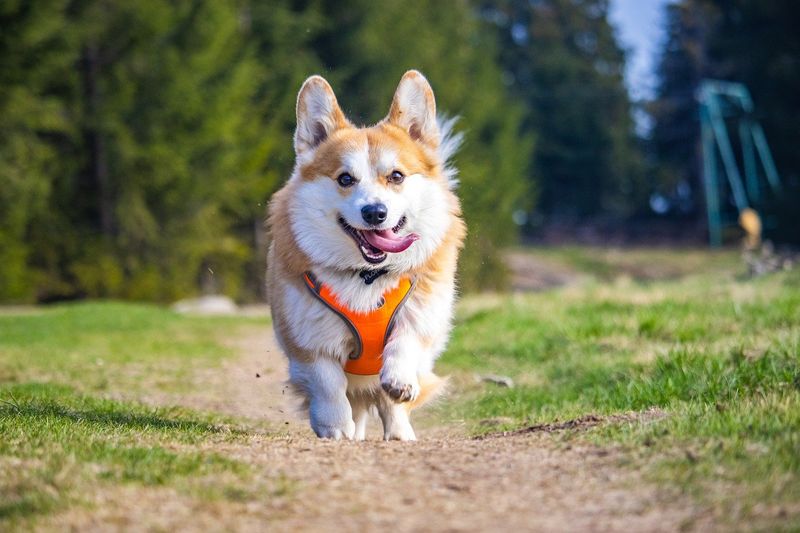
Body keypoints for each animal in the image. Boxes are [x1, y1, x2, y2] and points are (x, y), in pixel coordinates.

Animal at [268, 68, 466, 438]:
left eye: (397, 176)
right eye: (345, 179)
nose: (375, 212)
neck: (367, 275)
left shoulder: (422, 314)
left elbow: (405, 342)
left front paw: (399, 381)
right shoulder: (308, 343)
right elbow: (328, 384)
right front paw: (335, 428)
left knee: (389, 405)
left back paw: (400, 433)